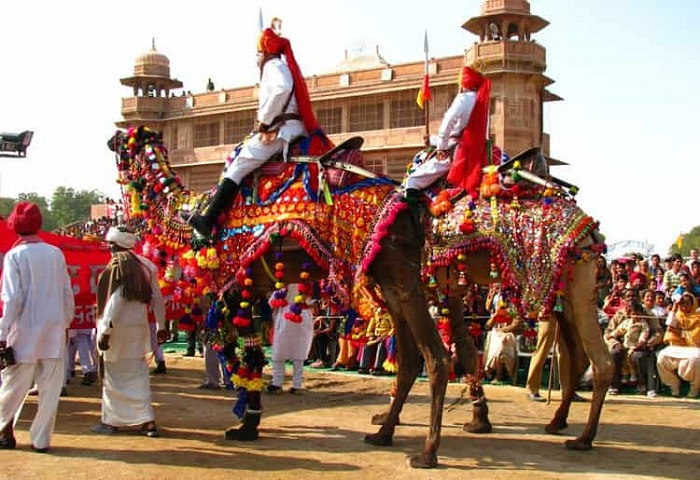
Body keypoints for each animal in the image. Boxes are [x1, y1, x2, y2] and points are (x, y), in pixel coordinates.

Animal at [110, 126, 612, 468]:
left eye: (122, 143)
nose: (113, 136)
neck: (191, 215)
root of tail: (590, 229)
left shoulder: (238, 279)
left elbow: (243, 350)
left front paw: (246, 424)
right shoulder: (441, 284)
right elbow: (463, 351)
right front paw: (479, 420)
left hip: (548, 281)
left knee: (453, 358)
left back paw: (439, 450)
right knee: (563, 356)